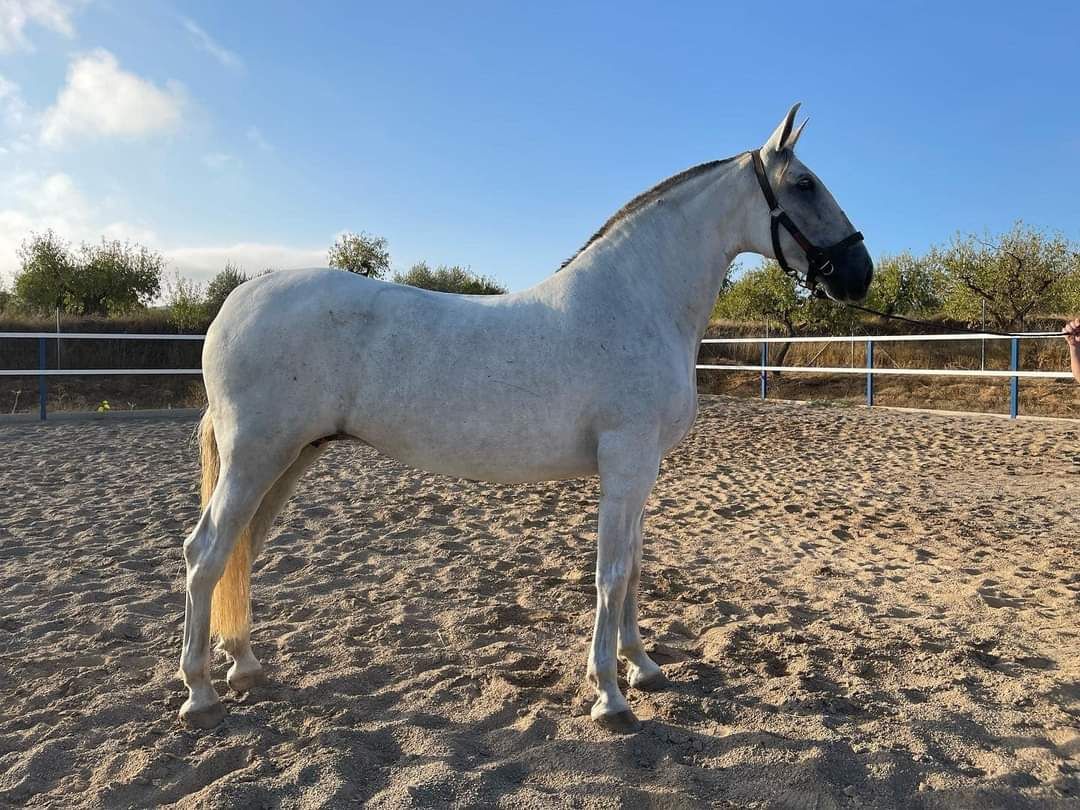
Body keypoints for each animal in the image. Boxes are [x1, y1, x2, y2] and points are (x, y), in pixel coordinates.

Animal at [177, 104, 873, 732]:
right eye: (804, 184)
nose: (859, 274)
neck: (635, 301)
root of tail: (236, 302)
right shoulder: (625, 460)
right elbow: (610, 572)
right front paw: (609, 695)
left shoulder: (642, 468)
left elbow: (633, 566)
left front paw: (642, 666)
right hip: (256, 456)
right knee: (206, 552)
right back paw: (200, 693)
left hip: (291, 457)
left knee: (240, 549)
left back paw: (244, 666)